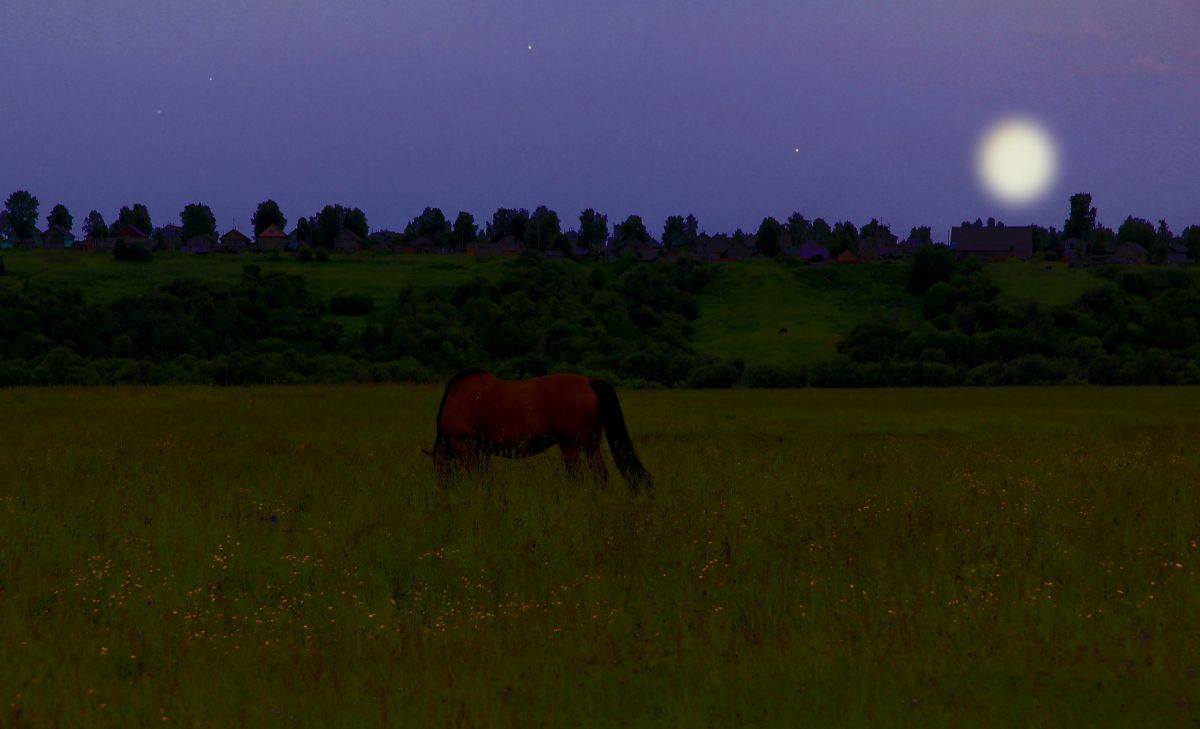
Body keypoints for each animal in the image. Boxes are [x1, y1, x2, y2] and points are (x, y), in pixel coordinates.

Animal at [429, 369, 657, 489]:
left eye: (438, 468)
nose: (440, 488)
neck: (456, 396)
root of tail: (588, 382)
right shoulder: (482, 450)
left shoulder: (464, 444)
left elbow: (473, 475)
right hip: (591, 444)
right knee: (600, 474)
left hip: (571, 447)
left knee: (577, 478)